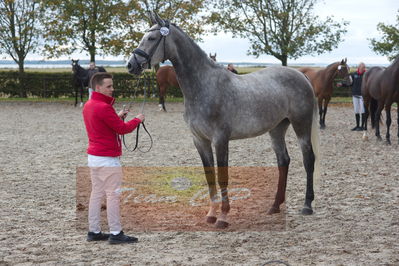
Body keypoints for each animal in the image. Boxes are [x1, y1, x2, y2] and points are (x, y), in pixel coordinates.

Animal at [128, 13, 322, 229]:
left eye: (152, 38)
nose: (131, 65)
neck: (204, 85)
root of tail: (301, 75)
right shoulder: (200, 140)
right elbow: (209, 176)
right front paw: (211, 214)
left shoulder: (220, 139)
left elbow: (222, 177)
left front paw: (223, 217)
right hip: (277, 128)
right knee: (283, 161)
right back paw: (274, 206)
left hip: (301, 125)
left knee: (308, 159)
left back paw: (307, 205)